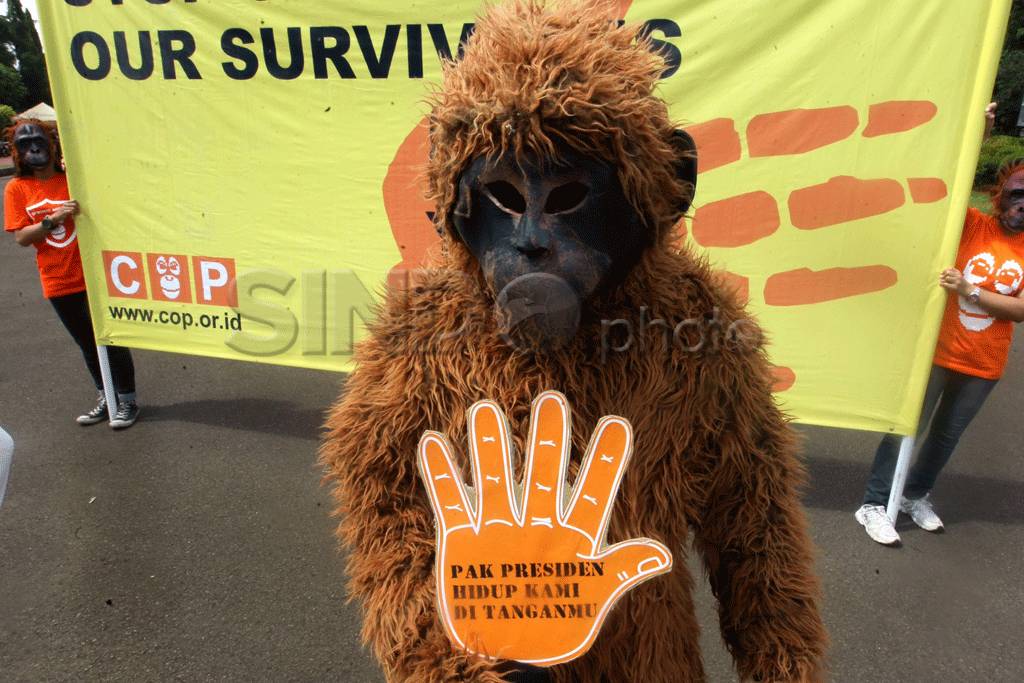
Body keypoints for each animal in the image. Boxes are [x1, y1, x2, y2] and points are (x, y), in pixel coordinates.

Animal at [320, 2, 827, 681]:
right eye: (504, 195)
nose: (532, 245)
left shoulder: (722, 341)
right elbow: (389, 491)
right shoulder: (406, 343)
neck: (571, 343)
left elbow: (752, 506)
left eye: (568, 196)